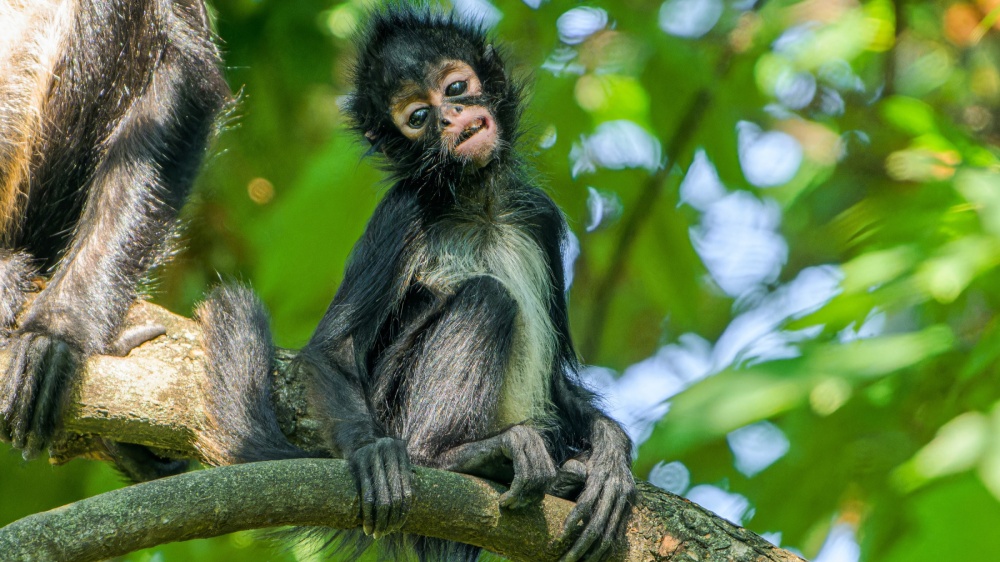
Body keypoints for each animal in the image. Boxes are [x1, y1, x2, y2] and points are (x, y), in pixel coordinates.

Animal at [195, 5, 632, 560]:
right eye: (418, 118)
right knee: (488, 296)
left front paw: (612, 450)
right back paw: (453, 457)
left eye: (456, 88)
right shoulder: (402, 210)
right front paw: (371, 453)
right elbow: (333, 349)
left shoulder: (539, 216)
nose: (448, 118)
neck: (479, 206)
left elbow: (557, 379)